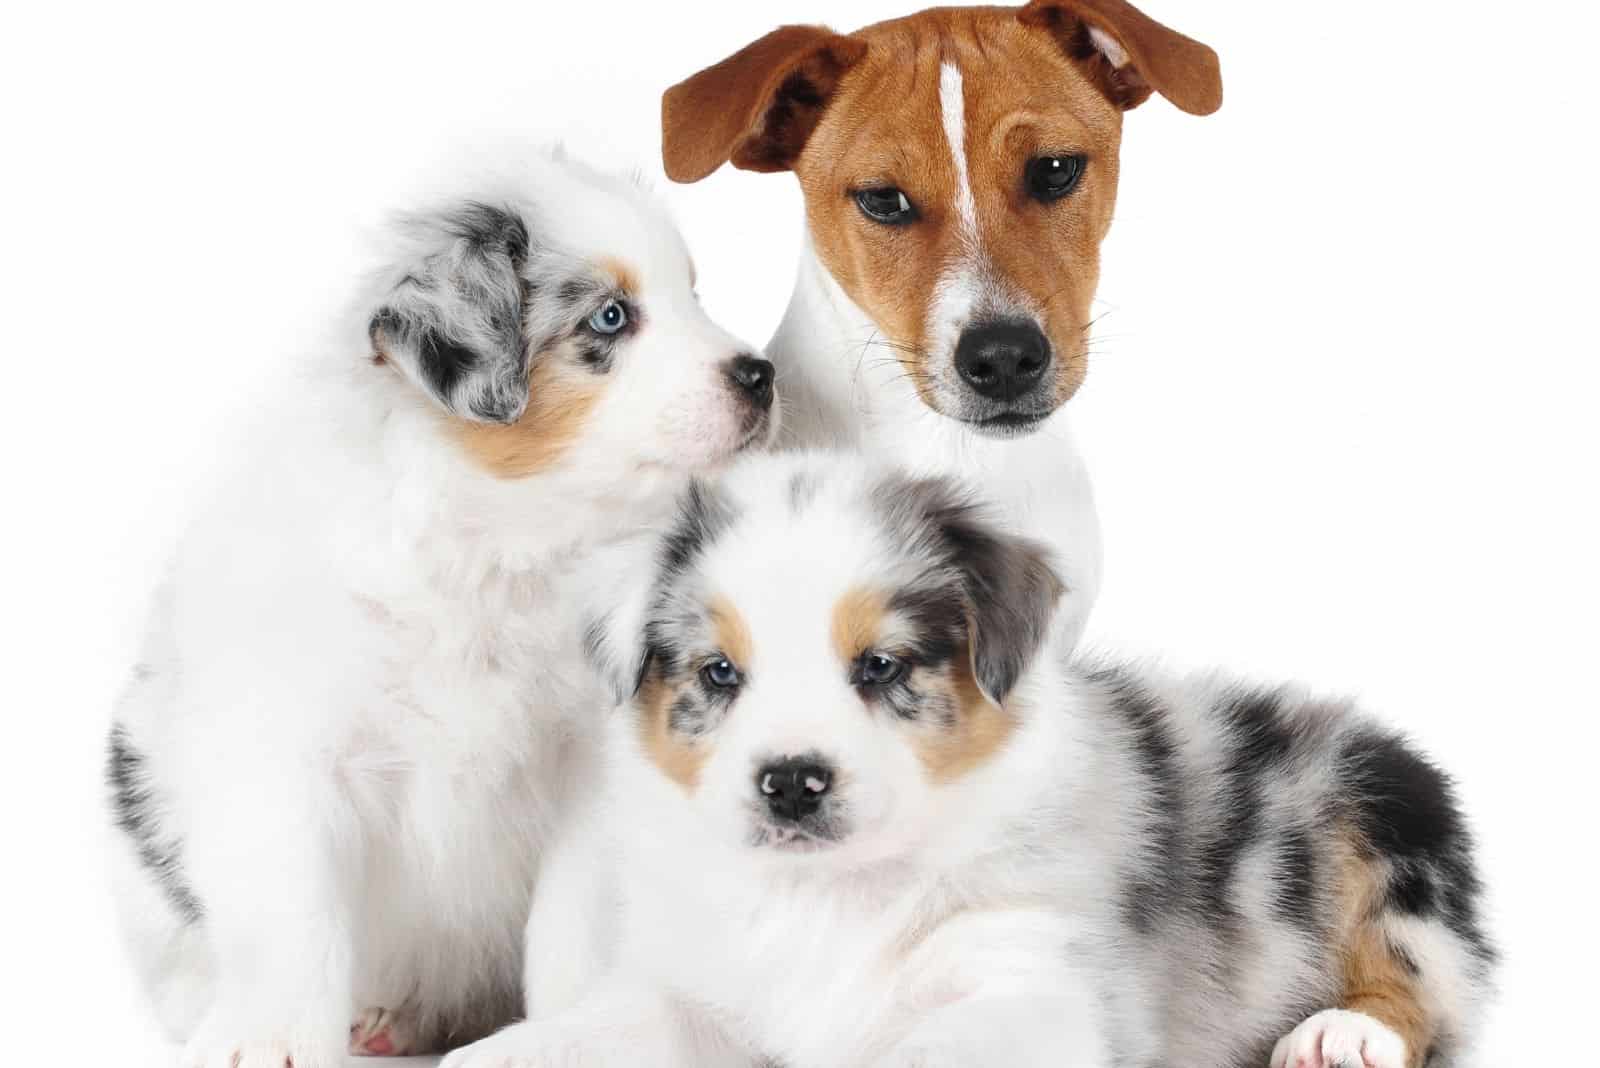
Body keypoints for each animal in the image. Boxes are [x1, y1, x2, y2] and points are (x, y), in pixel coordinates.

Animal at [104, 150, 774, 1068]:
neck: (501, 545)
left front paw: (577, 1031)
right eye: (611, 316)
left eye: (695, 294)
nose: (763, 377)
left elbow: (575, 921)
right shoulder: (281, 746)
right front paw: (269, 1038)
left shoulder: (591, 765)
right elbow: (291, 912)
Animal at [448, 450, 1484, 1068]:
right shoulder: (705, 983)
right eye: (719, 672)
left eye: (879, 665)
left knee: (1429, 979)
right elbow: (603, 1024)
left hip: (1380, 811)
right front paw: (489, 1054)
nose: (791, 783)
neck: (834, 894)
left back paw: (1342, 1033)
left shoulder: (1038, 983)